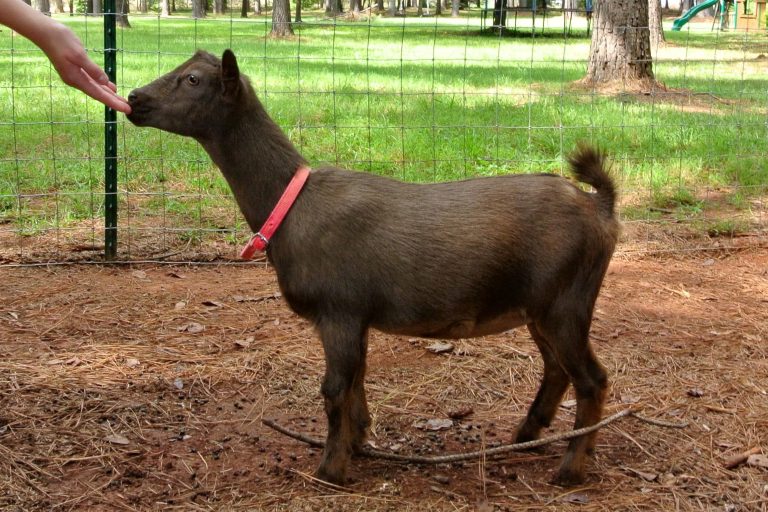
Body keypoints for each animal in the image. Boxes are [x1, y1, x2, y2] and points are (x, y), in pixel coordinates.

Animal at [127, 49, 620, 487]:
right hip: (541, 309)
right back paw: (526, 436)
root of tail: (601, 207)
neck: (291, 205)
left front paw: (331, 469)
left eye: (192, 79)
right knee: (557, 371)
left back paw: (571, 469)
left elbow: (334, 389)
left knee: (592, 380)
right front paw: (360, 441)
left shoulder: (338, 310)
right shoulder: (356, 317)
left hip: (565, 304)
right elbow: (357, 381)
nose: (134, 98)